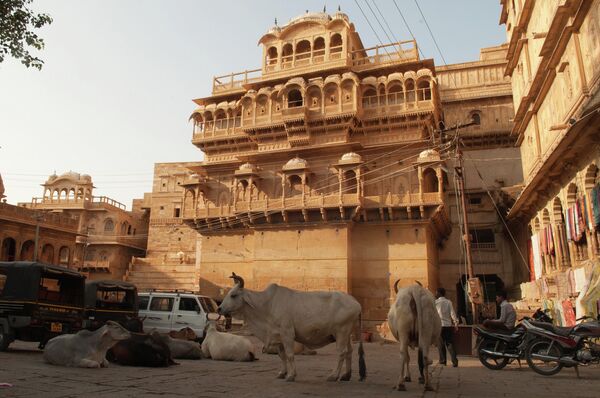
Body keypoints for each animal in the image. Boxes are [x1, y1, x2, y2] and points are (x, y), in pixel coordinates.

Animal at [217, 272, 366, 380]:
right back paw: (346, 375)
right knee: (349, 352)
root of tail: (356, 302)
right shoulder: (278, 336)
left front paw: (291, 375)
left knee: (341, 353)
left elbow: (289, 355)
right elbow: (282, 356)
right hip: (347, 335)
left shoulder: (287, 333)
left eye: (233, 295)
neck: (267, 305)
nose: (219, 309)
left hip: (341, 332)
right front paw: (282, 373)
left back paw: (334, 376)